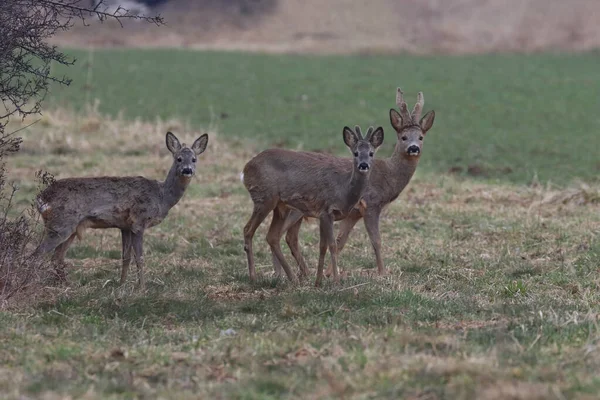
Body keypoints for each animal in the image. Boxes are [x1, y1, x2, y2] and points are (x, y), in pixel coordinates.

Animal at [31, 133, 209, 290]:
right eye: (178, 158)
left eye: (194, 159)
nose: (187, 170)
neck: (162, 197)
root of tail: (41, 197)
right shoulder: (139, 221)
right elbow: (140, 258)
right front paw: (142, 288)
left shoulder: (125, 226)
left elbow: (126, 257)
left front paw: (121, 285)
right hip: (61, 224)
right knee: (37, 254)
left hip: (71, 228)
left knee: (57, 257)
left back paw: (66, 285)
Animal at [241, 125, 382, 284]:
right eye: (355, 153)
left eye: (371, 153)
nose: (363, 165)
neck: (343, 190)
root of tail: (246, 169)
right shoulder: (327, 210)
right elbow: (332, 245)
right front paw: (336, 281)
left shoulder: (322, 214)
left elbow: (322, 246)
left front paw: (318, 282)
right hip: (264, 198)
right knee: (248, 230)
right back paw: (253, 277)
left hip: (280, 206)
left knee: (272, 236)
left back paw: (292, 278)